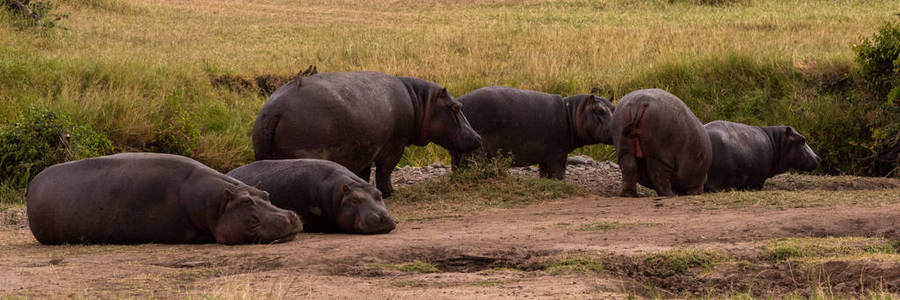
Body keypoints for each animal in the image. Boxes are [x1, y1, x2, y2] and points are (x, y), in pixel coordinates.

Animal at [250, 70, 482, 197]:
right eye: (455, 107)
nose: (478, 137)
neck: (420, 101)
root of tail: (274, 110)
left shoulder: (363, 149)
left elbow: (363, 173)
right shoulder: (394, 147)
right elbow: (385, 172)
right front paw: (390, 193)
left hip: (261, 152)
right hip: (305, 152)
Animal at [450, 85, 620, 179]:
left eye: (613, 108)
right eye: (600, 110)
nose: (616, 126)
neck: (572, 112)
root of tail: (459, 102)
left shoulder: (545, 155)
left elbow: (544, 173)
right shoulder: (558, 153)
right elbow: (559, 172)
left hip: (457, 150)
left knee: (456, 166)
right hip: (475, 151)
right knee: (467, 166)